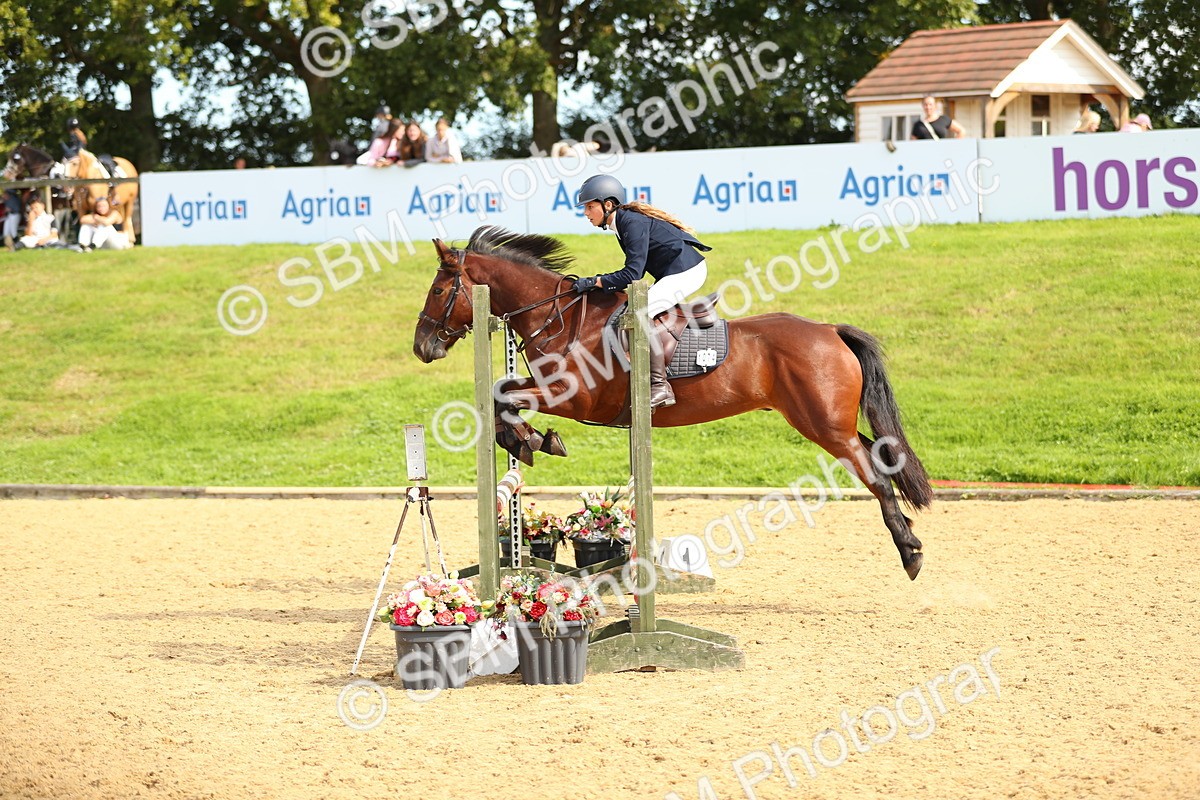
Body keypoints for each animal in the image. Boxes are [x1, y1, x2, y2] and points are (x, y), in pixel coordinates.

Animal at [414, 226, 933, 580]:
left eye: (438, 290)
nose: (422, 347)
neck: (559, 318)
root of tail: (829, 329)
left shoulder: (574, 397)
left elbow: (505, 399)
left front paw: (533, 440)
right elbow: (502, 395)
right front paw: (530, 440)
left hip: (825, 427)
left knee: (875, 476)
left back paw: (909, 551)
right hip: (829, 422)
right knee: (881, 459)